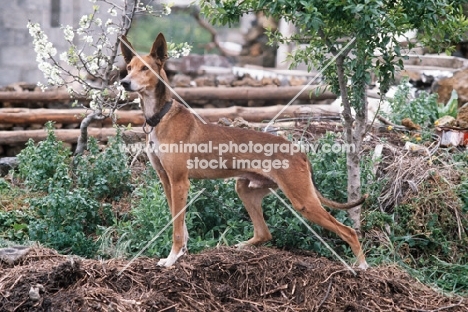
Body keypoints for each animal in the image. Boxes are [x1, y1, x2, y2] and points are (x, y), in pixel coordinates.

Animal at [120, 33, 370, 268]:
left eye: (146, 68)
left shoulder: (180, 181)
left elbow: (178, 229)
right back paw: (239, 247)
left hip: (303, 201)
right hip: (245, 189)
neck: (161, 117)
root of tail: (299, 152)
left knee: (349, 231)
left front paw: (172, 259)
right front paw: (180, 254)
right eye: (129, 67)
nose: (124, 82)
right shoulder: (167, 181)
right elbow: (179, 223)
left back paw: (362, 266)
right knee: (264, 233)